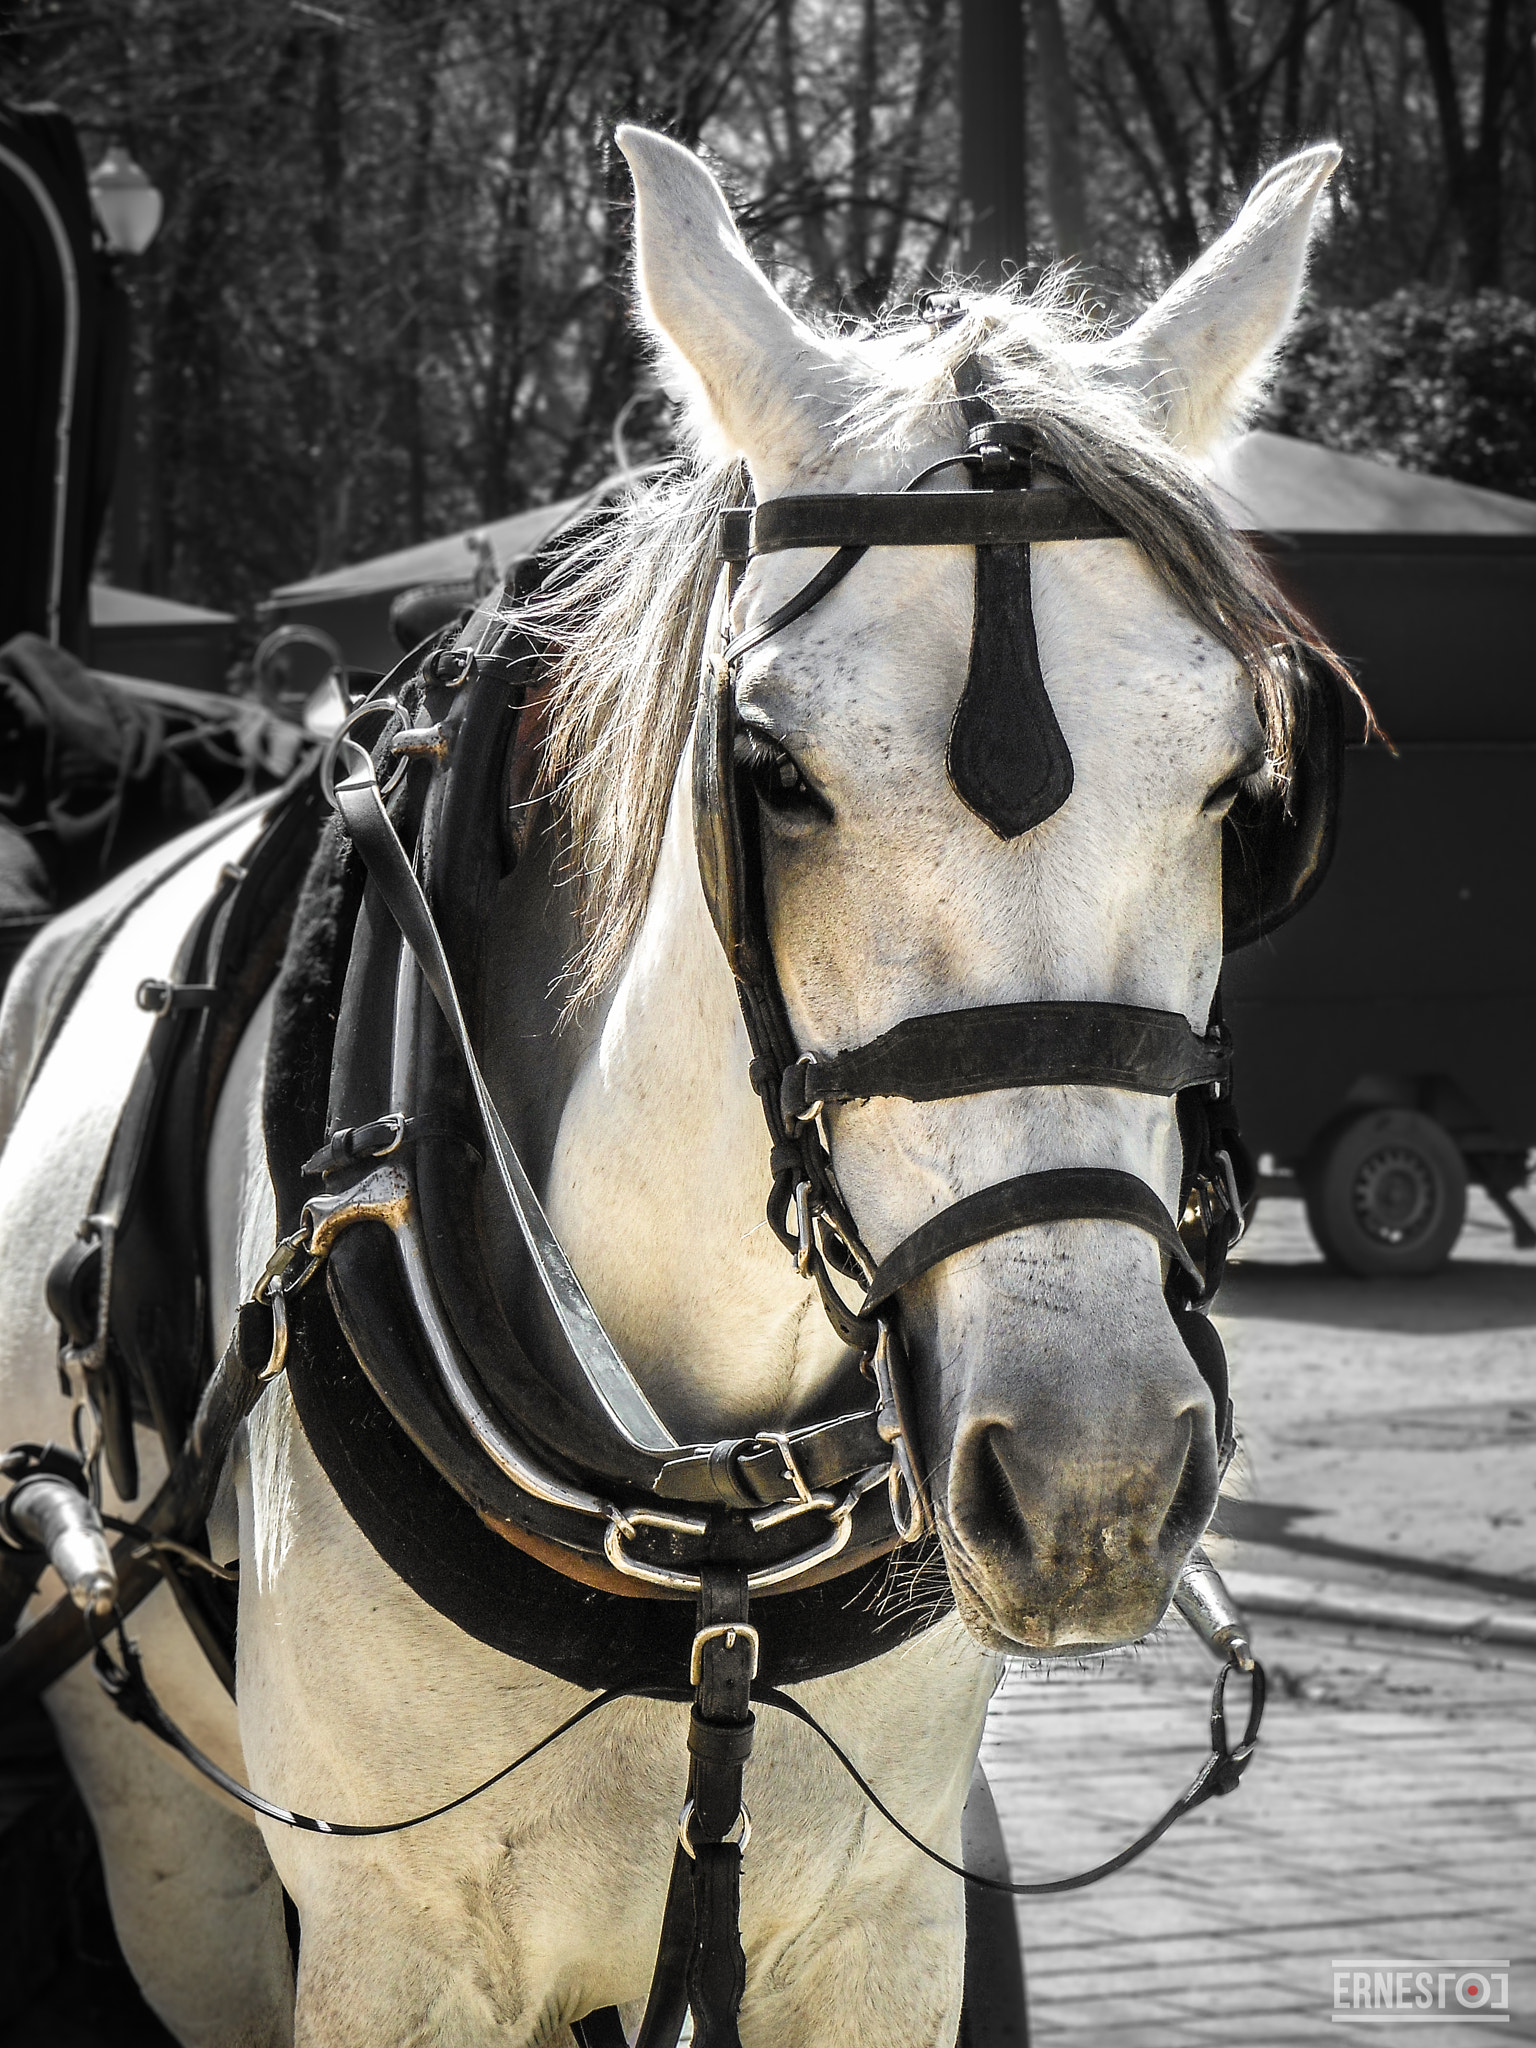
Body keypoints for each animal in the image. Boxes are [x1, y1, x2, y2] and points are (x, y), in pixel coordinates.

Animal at [0, 126, 1340, 2047]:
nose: (1091, 1477)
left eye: (1245, 785)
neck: (704, 1534)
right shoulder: (392, 1946)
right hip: (164, 1823)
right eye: (769, 769)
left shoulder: (880, 1928)